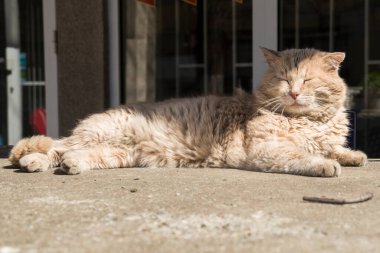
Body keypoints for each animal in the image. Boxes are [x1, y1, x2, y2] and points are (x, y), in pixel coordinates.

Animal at [8, 48, 366, 177]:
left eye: (306, 79)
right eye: (284, 79)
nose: (293, 92)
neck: (308, 122)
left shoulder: (324, 139)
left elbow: (334, 148)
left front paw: (353, 155)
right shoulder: (269, 150)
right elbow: (304, 156)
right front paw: (325, 165)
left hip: (117, 154)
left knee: (72, 154)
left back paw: (70, 165)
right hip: (102, 135)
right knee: (54, 147)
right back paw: (31, 161)